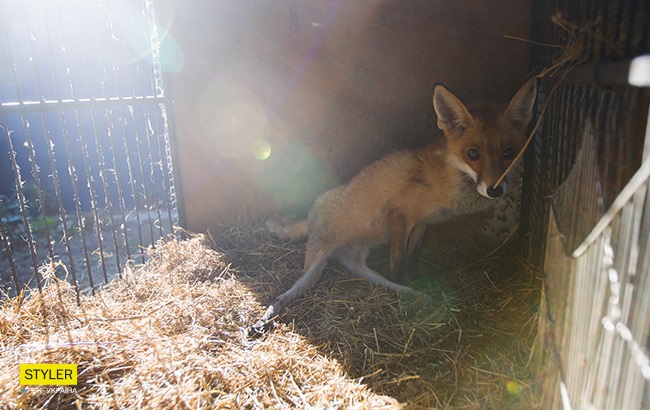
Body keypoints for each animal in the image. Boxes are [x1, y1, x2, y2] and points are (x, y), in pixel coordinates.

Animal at [251, 78, 536, 334]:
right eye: (473, 154)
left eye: (509, 153)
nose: (495, 189)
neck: (444, 180)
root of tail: (312, 211)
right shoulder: (401, 214)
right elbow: (398, 261)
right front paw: (404, 297)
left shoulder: (422, 223)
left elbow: (414, 255)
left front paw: (417, 279)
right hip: (315, 264)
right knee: (289, 292)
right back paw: (265, 317)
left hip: (358, 261)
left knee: (374, 278)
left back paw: (418, 294)